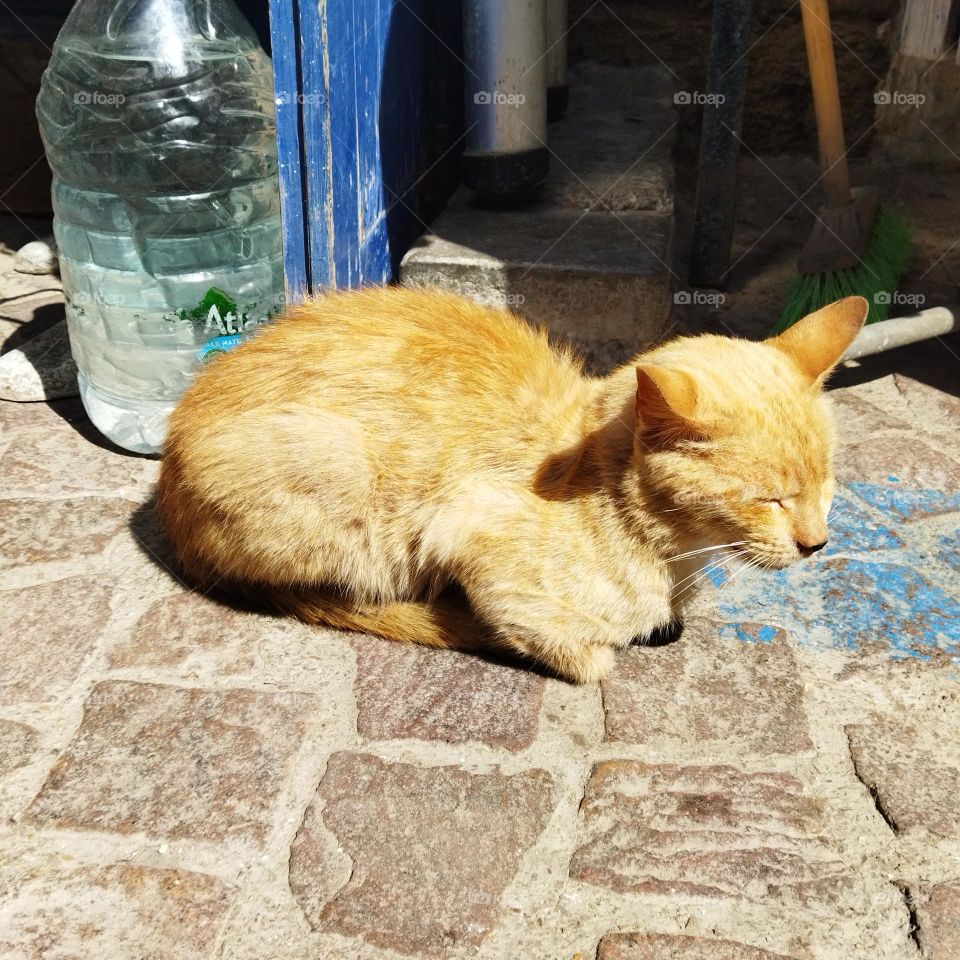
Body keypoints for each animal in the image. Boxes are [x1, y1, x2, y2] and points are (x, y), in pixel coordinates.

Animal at [159, 286, 872, 684]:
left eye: (826, 486)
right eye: (769, 499)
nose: (817, 544)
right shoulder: (468, 534)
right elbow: (584, 657)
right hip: (333, 471)